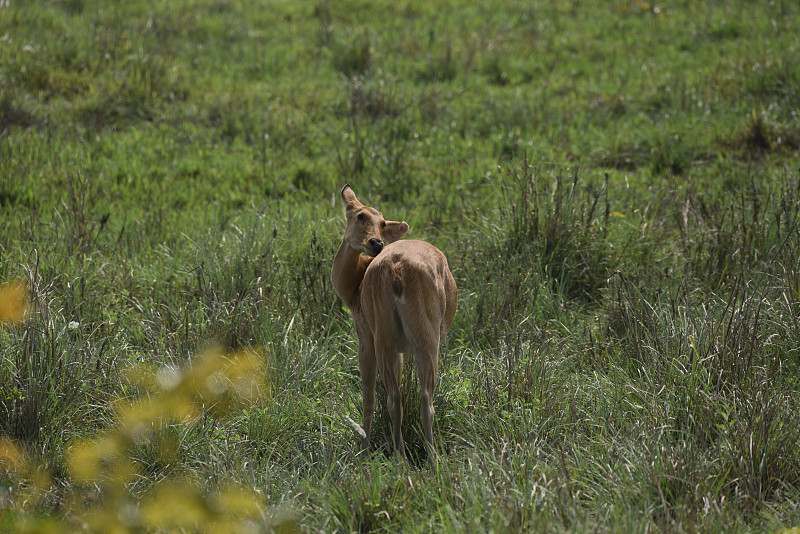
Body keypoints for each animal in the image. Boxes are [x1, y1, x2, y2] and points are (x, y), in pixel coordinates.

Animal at [332, 186, 456, 462]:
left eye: (382, 222)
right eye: (360, 216)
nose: (376, 243)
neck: (353, 289)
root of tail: (397, 271)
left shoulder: (363, 334)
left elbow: (368, 395)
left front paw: (363, 449)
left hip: (389, 334)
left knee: (402, 398)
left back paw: (411, 458)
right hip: (417, 336)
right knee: (413, 397)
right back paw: (418, 458)